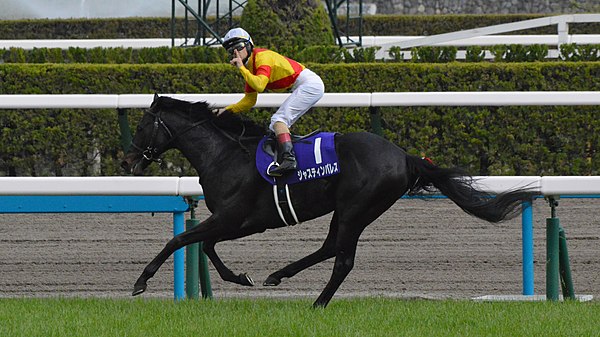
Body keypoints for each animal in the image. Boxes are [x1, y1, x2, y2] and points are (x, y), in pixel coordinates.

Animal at [120, 94, 536, 308]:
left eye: (141, 125)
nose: (127, 161)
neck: (225, 154)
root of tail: (404, 156)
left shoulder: (236, 219)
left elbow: (180, 240)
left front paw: (140, 282)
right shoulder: (233, 221)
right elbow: (204, 245)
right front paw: (241, 276)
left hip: (357, 207)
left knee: (342, 258)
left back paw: (317, 302)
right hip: (349, 208)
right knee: (331, 246)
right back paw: (280, 275)